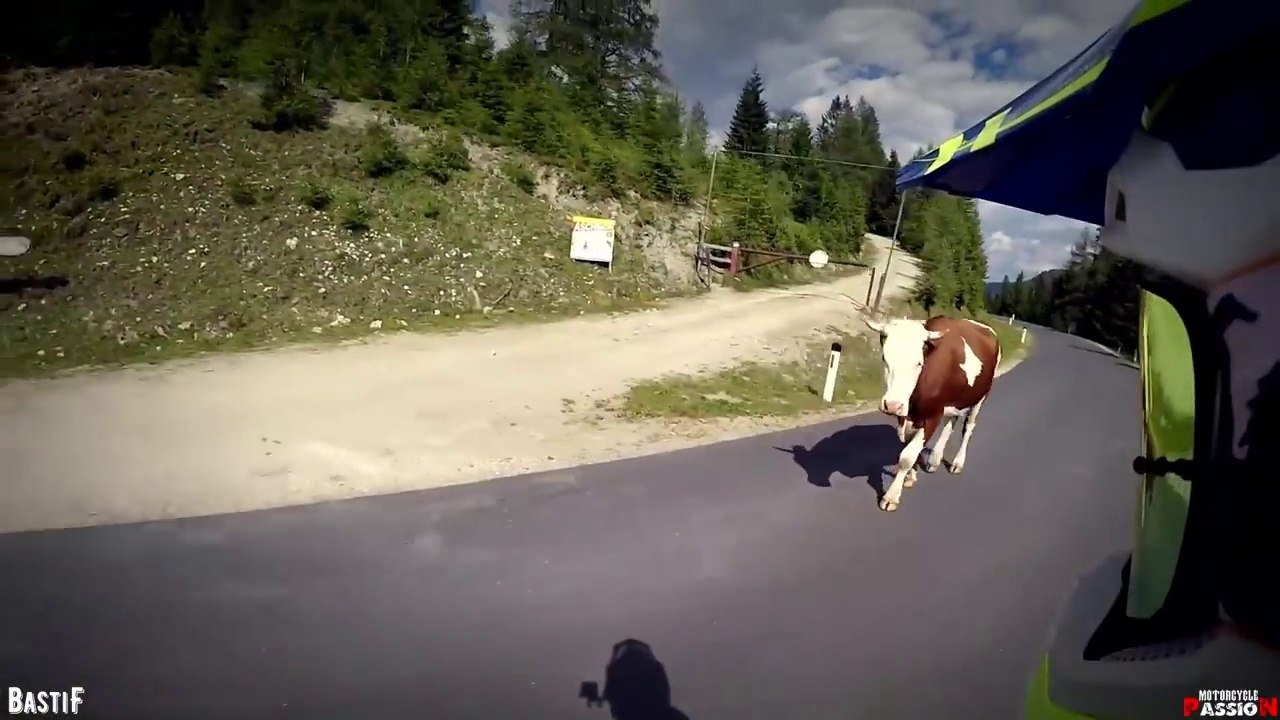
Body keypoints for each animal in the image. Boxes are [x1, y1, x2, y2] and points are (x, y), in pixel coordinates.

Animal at [863, 314, 1002, 512]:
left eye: (918, 363)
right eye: (885, 358)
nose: (892, 405)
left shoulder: (932, 416)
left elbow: (907, 456)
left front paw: (891, 497)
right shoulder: (906, 415)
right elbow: (908, 444)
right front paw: (911, 476)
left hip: (981, 396)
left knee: (968, 427)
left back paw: (957, 463)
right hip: (955, 400)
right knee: (950, 423)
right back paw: (935, 460)